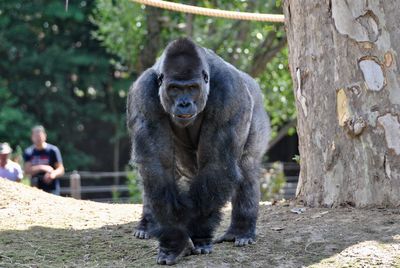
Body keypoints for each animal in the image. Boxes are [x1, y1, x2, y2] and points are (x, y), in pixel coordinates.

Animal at [126, 37, 270, 266]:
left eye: (192, 88)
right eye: (175, 88)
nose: (184, 103)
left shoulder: (229, 94)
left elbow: (216, 165)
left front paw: (198, 234)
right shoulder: (144, 95)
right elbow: (157, 168)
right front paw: (174, 240)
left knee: (246, 167)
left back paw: (241, 230)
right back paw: (146, 225)